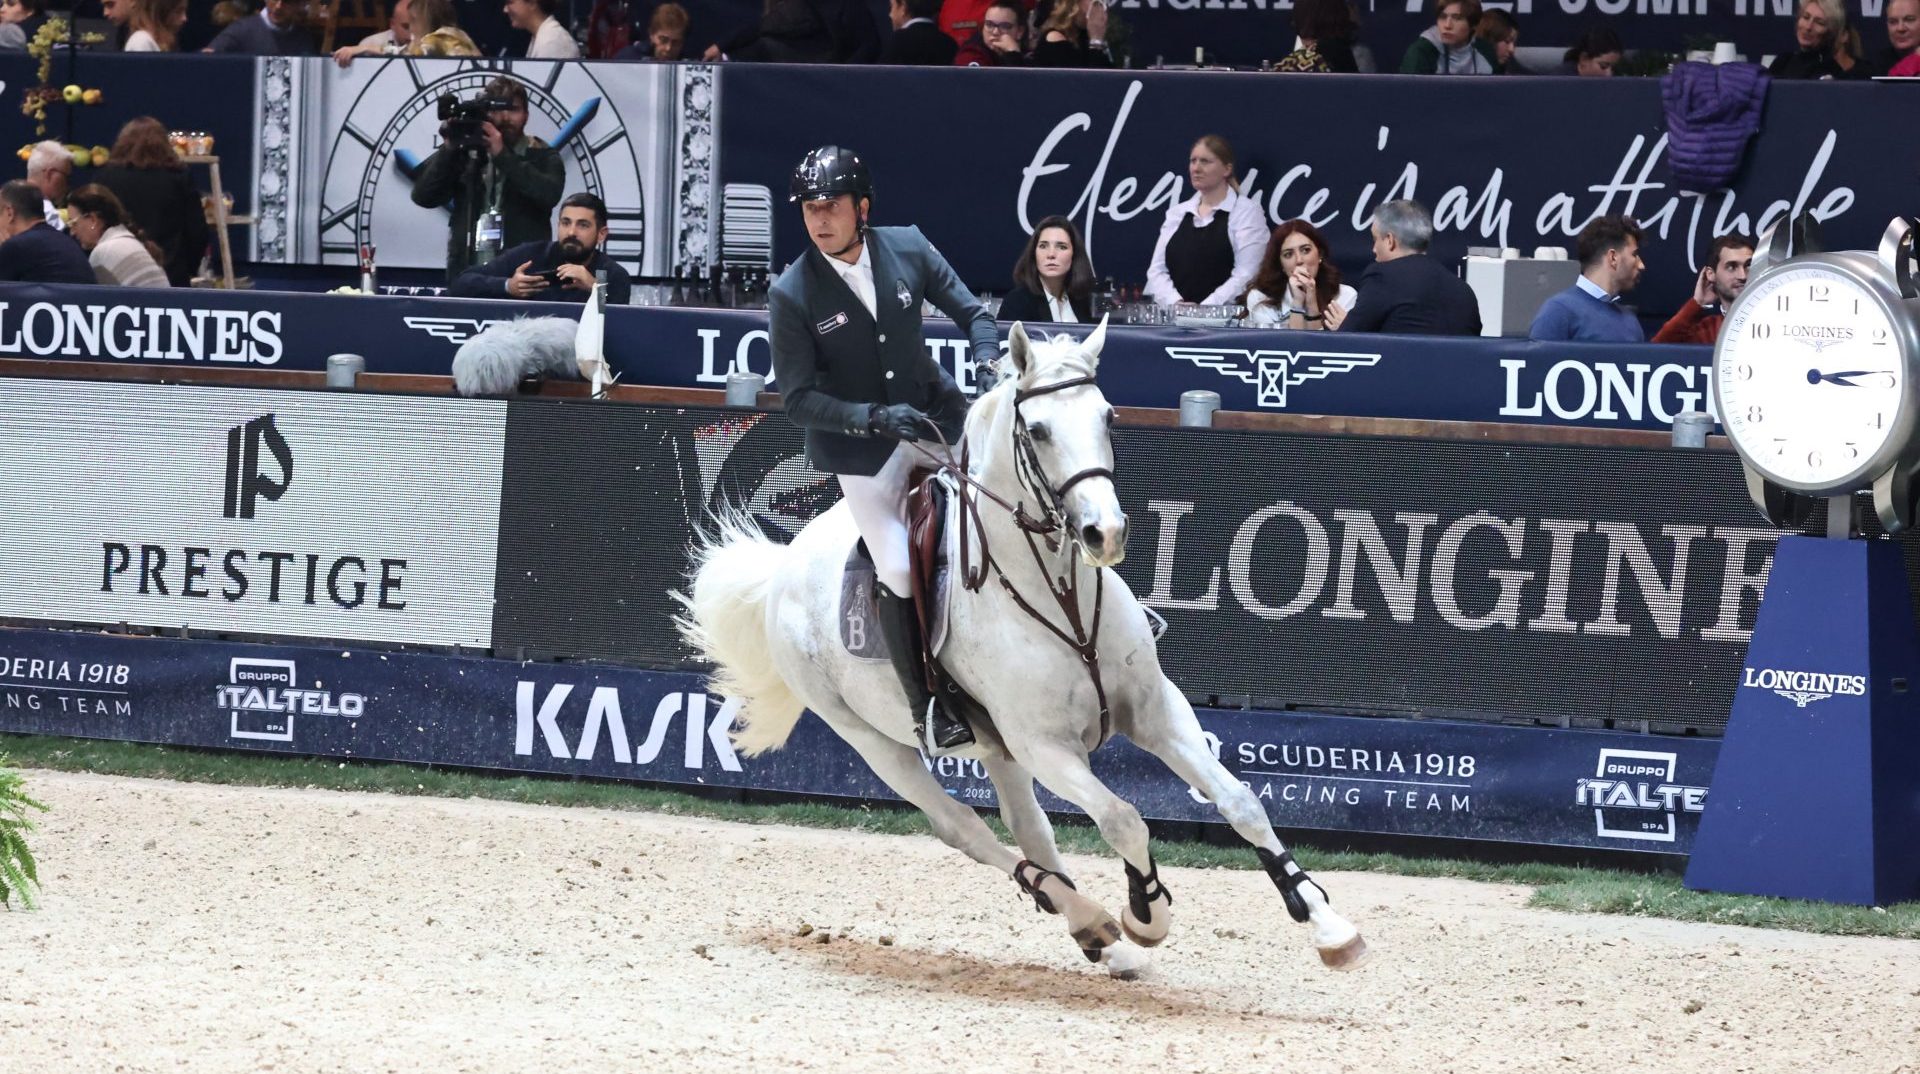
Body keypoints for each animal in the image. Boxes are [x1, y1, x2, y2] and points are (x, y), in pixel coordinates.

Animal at [677, 318, 1368, 978]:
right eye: (1036, 431)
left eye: (1109, 417)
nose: (1105, 533)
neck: (1058, 593)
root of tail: (782, 567)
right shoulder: (1046, 745)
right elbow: (1124, 819)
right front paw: (1147, 913)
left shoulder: (1156, 712)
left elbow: (1241, 800)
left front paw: (1327, 925)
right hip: (873, 741)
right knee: (964, 828)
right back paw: (1095, 920)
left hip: (994, 743)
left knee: (1027, 826)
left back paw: (1098, 940)